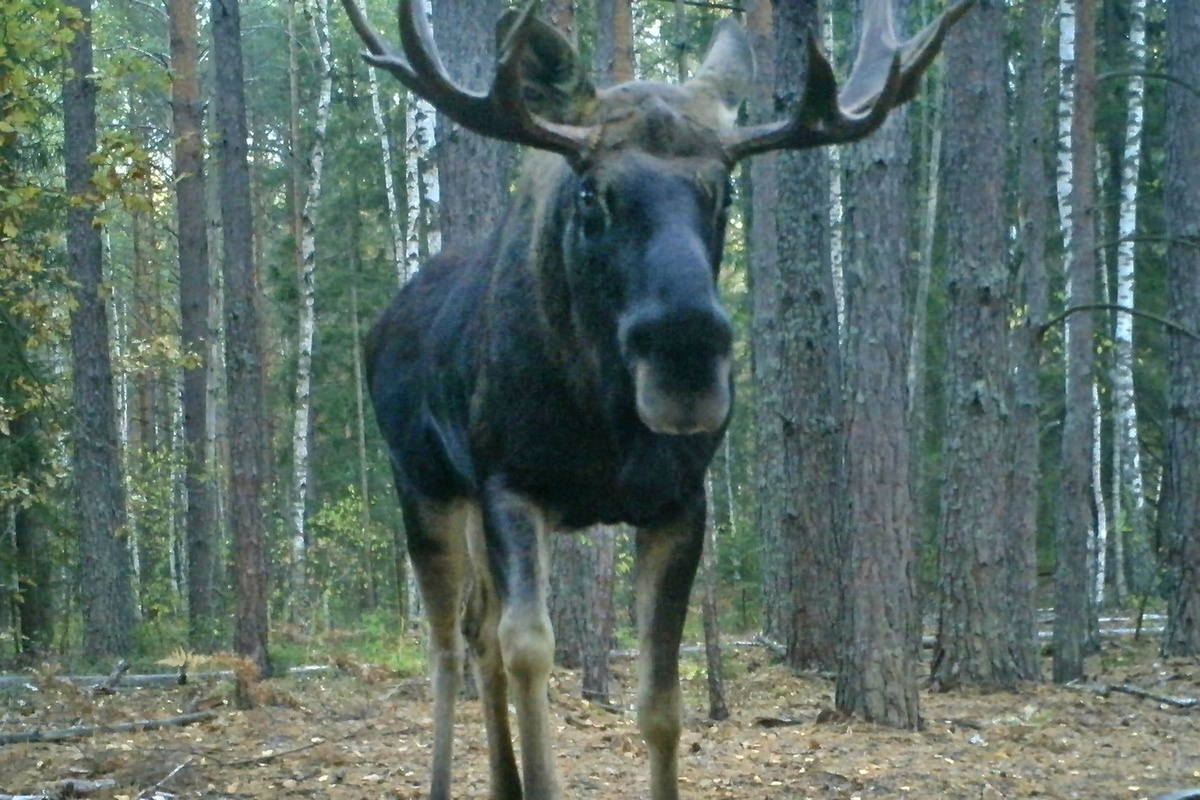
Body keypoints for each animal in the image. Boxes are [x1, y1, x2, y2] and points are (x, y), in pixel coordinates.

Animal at [343, 0, 969, 796]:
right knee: (449, 646)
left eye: (723, 189)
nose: (685, 356)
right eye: (591, 191)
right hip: (423, 485)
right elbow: (531, 653)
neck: (606, 425)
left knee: (478, 631)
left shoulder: (679, 504)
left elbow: (662, 704)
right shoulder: (511, 485)